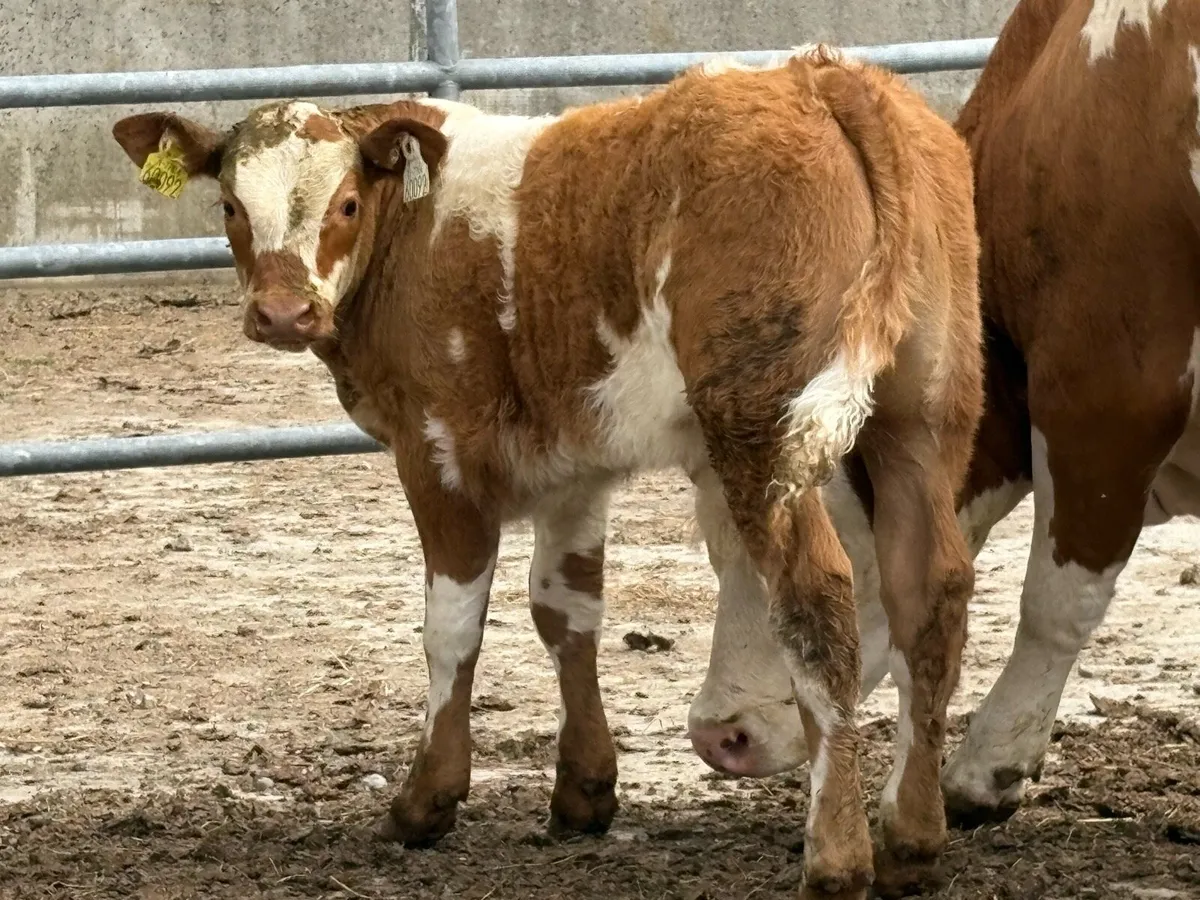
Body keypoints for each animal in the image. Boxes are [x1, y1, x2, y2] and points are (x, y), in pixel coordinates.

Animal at [112, 46, 982, 898]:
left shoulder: (436, 449)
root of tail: (823, 77)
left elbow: (452, 626)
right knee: (930, 589)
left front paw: (425, 800)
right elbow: (567, 610)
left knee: (817, 598)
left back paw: (835, 860)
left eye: (347, 204)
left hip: (763, 426)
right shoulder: (574, 465)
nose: (283, 314)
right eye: (229, 207)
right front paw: (585, 791)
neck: (417, 232)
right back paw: (912, 839)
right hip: (924, 420)